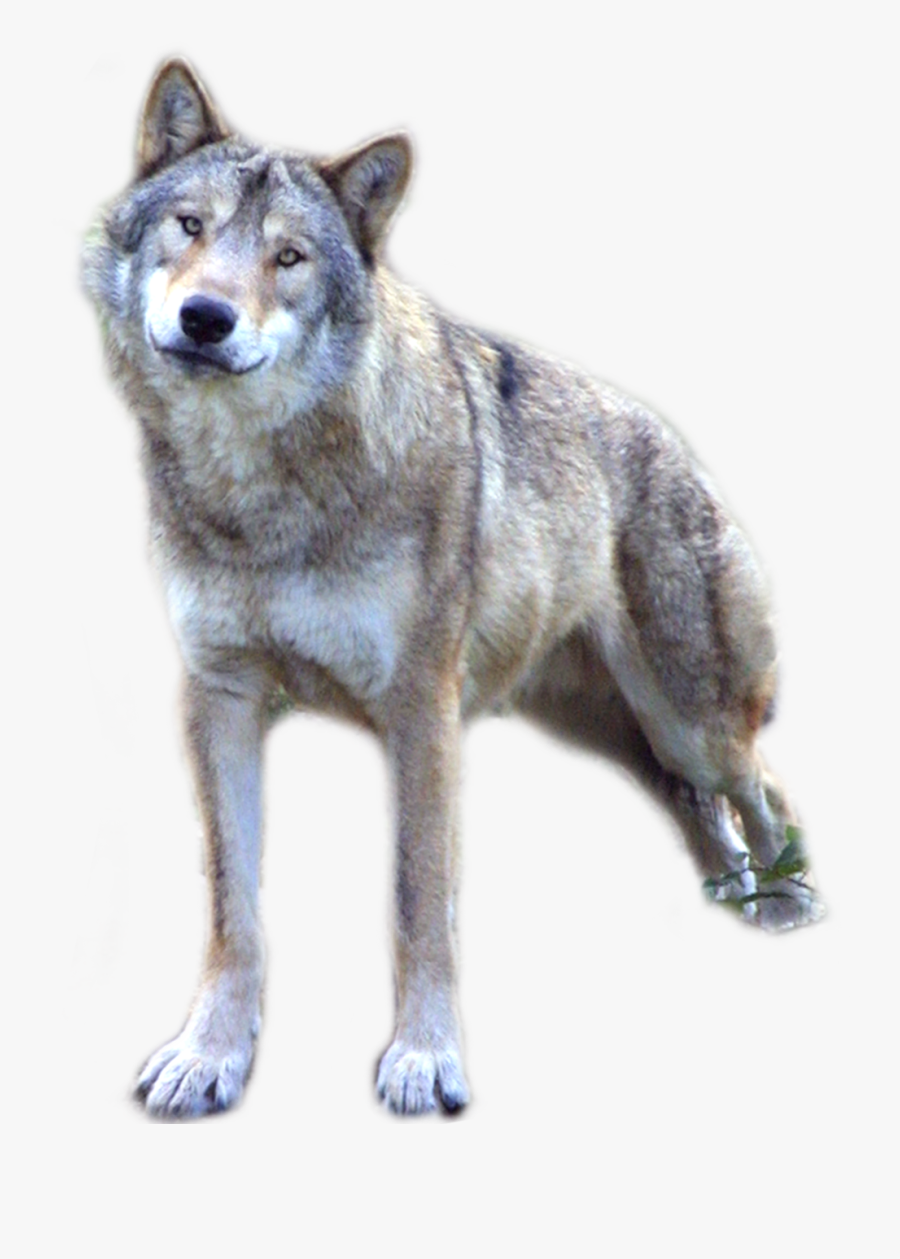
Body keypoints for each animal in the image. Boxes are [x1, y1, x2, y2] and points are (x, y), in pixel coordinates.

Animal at [83, 58, 821, 1119]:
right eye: (189, 226)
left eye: (289, 258)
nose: (206, 318)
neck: (263, 490)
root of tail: (674, 444)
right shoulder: (219, 697)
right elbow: (234, 906)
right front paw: (209, 1054)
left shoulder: (419, 711)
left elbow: (416, 898)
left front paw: (424, 1059)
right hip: (615, 734)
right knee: (698, 804)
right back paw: (733, 894)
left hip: (691, 721)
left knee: (764, 787)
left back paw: (787, 903)